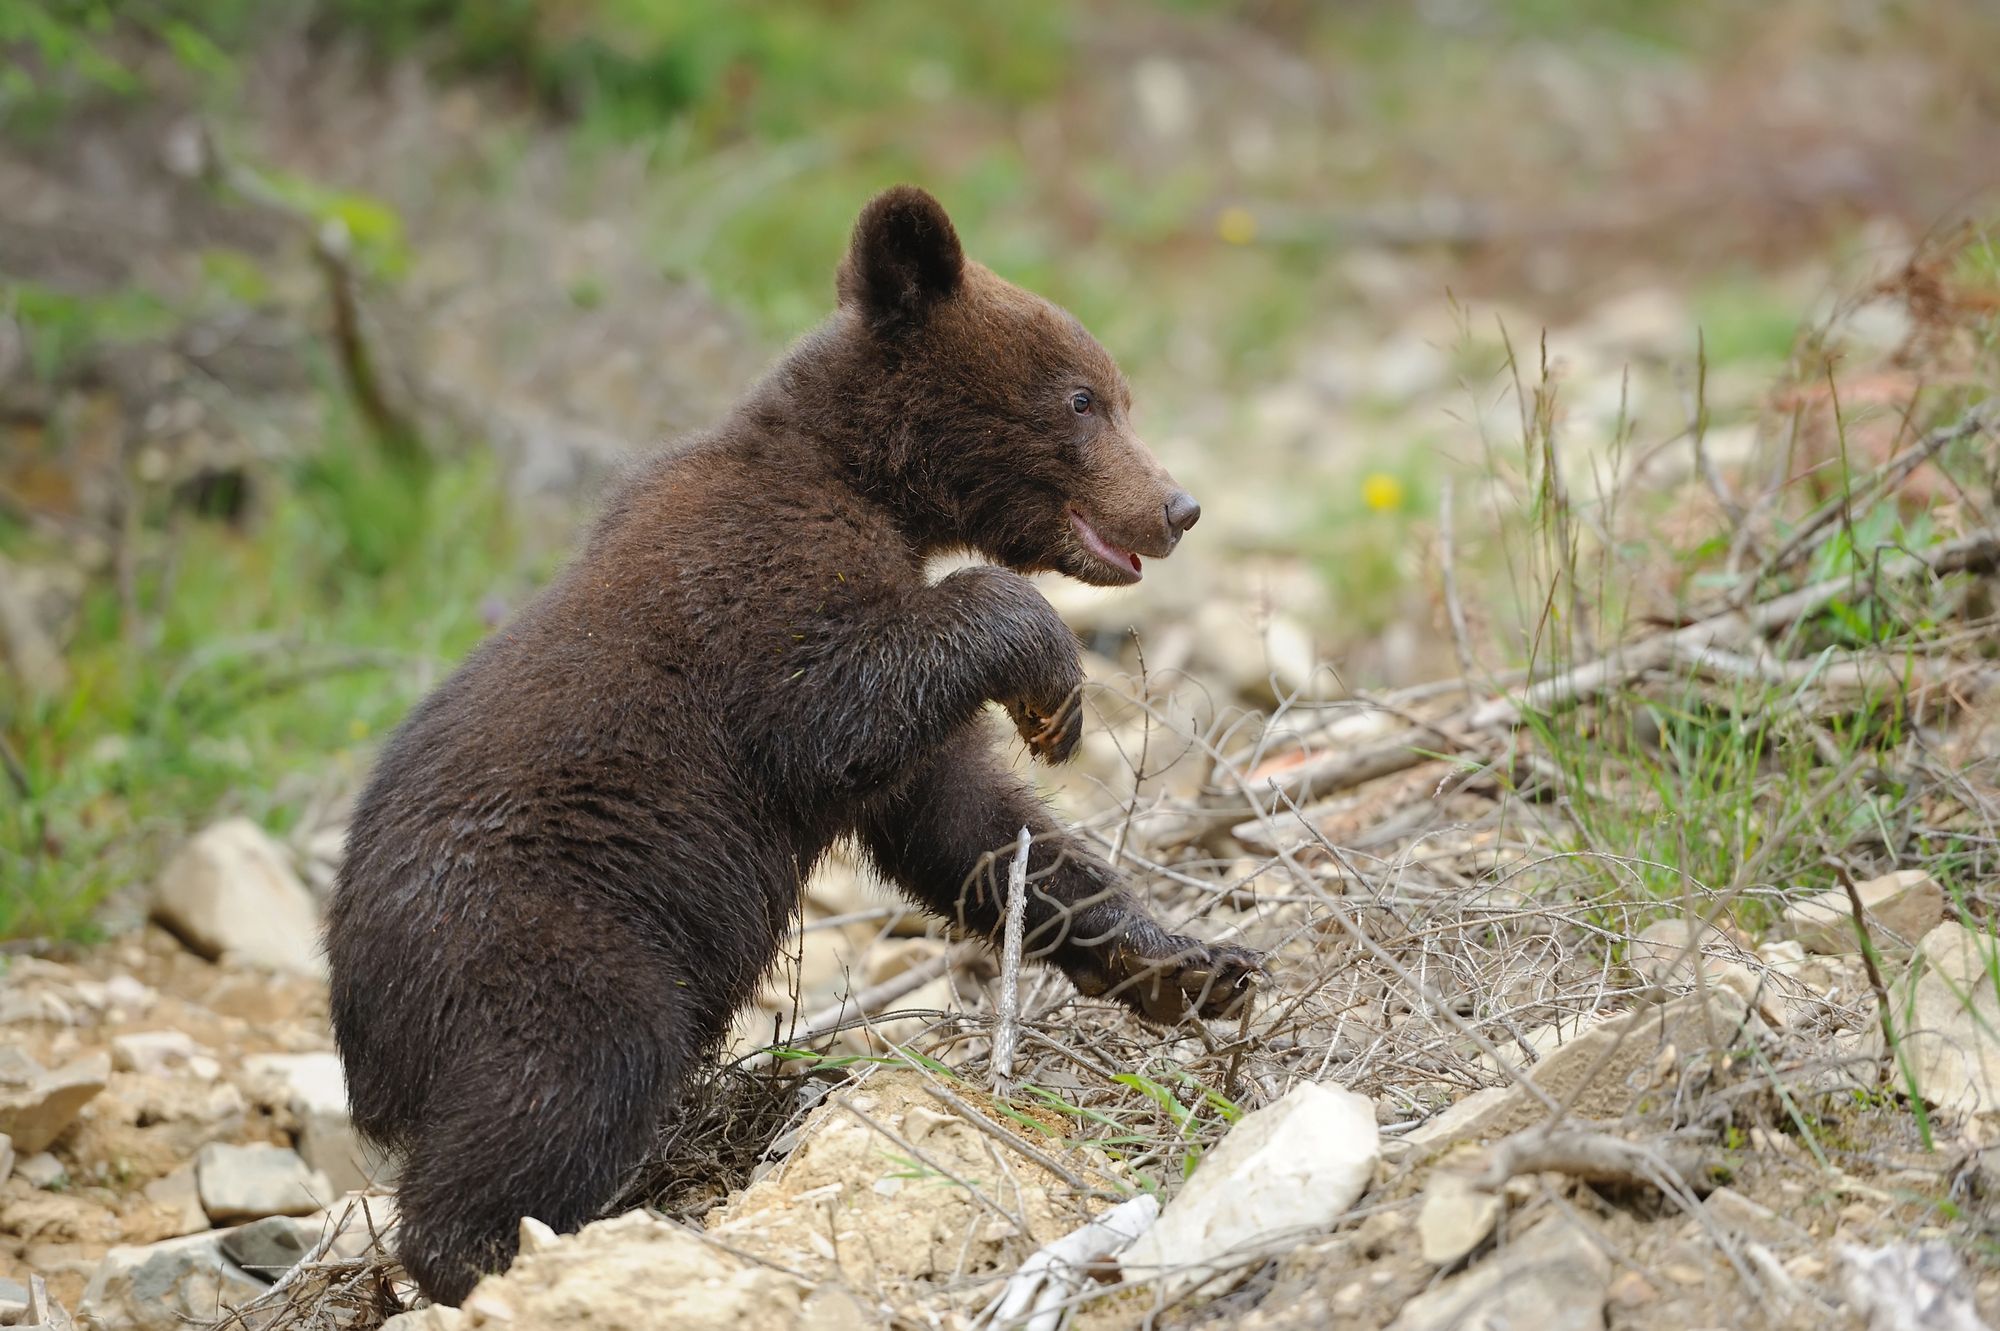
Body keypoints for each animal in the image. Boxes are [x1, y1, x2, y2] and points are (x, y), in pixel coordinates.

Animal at [325, 185, 1260, 1307]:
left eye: (1119, 394)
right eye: (1081, 399)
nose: (1178, 505)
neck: (859, 476)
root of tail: (361, 1040)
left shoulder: (901, 743)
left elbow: (972, 826)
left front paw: (1182, 959)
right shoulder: (756, 587)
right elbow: (832, 708)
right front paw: (1051, 680)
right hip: (541, 938)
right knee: (567, 1074)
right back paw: (507, 1254)